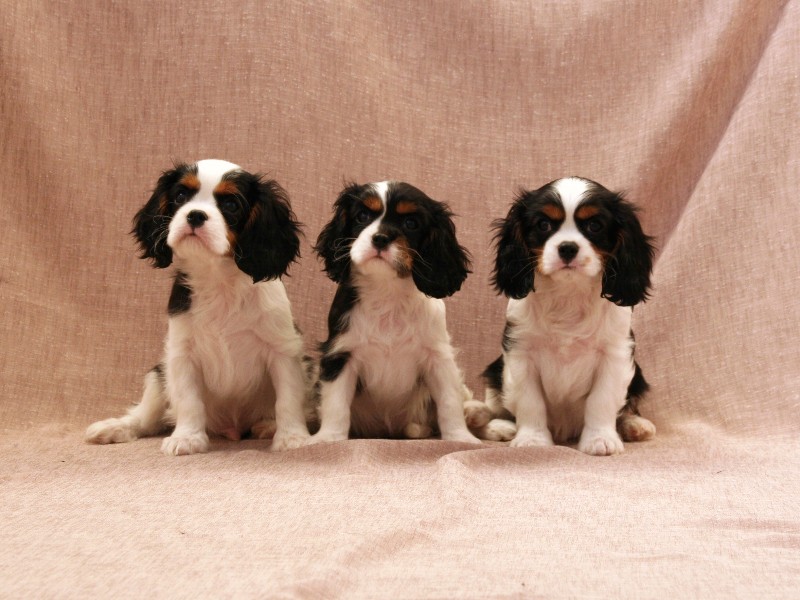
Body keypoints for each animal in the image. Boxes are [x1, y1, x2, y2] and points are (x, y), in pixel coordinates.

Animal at [85, 159, 314, 455]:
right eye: (182, 196)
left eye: (231, 205)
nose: (194, 215)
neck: (218, 280)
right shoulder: (181, 354)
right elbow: (188, 400)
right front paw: (187, 438)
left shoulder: (283, 350)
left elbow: (288, 397)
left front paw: (291, 438)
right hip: (159, 373)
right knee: (147, 416)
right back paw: (116, 427)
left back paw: (268, 425)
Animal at [306, 181, 484, 445]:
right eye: (362, 216)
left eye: (410, 223)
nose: (380, 238)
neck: (386, 290)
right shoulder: (341, 354)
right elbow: (336, 403)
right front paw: (329, 438)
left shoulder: (438, 357)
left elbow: (449, 402)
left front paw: (459, 437)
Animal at [473, 177, 656, 455]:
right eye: (544, 224)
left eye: (594, 225)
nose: (567, 248)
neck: (568, 293)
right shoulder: (520, 353)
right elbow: (530, 401)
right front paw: (533, 440)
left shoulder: (615, 355)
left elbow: (602, 400)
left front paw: (600, 439)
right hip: (495, 371)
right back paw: (496, 425)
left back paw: (634, 425)